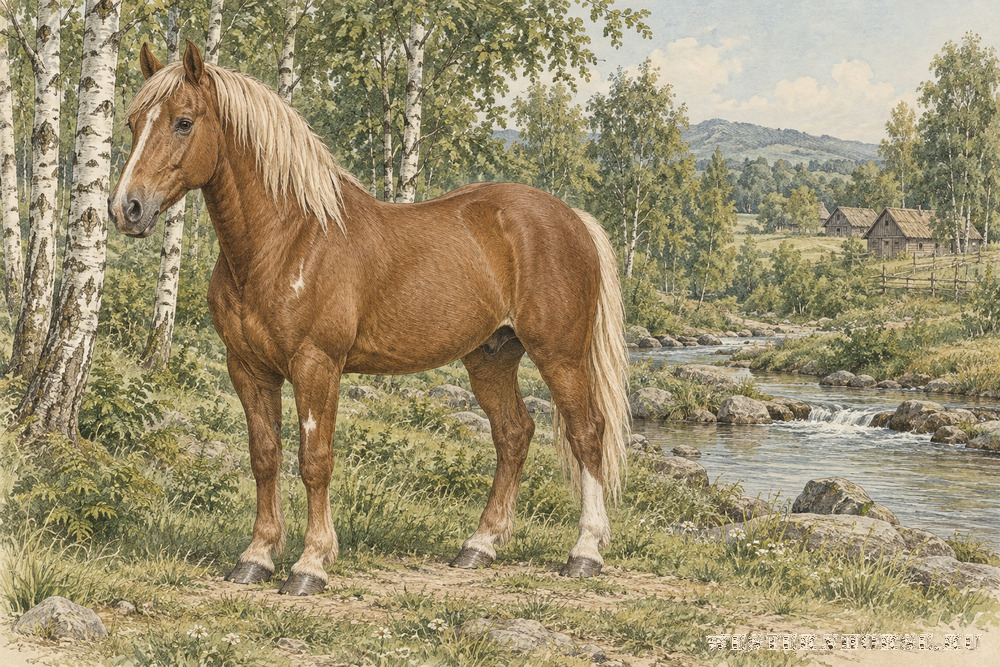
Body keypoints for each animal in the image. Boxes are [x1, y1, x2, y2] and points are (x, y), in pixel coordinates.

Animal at [108, 40, 629, 596]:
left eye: (183, 122)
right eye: (133, 122)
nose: (127, 209)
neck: (288, 241)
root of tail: (573, 218)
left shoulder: (317, 366)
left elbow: (314, 461)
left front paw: (310, 564)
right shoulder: (248, 368)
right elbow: (264, 457)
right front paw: (257, 556)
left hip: (560, 356)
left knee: (586, 433)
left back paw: (585, 552)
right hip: (490, 357)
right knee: (513, 434)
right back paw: (480, 545)